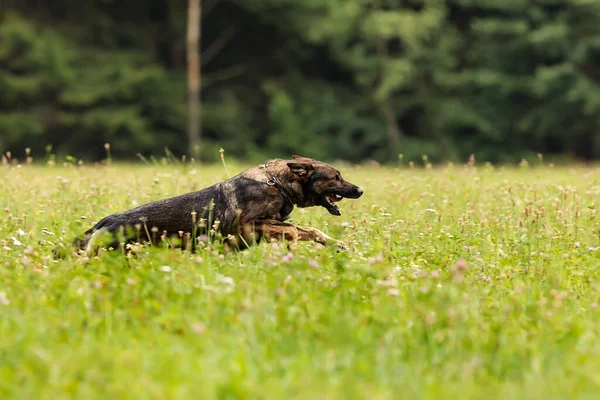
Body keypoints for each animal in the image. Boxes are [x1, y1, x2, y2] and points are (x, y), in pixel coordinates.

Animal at [61, 154, 364, 256]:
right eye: (336, 177)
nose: (360, 190)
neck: (276, 182)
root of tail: (105, 221)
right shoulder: (252, 225)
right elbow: (291, 231)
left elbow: (311, 232)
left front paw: (338, 245)